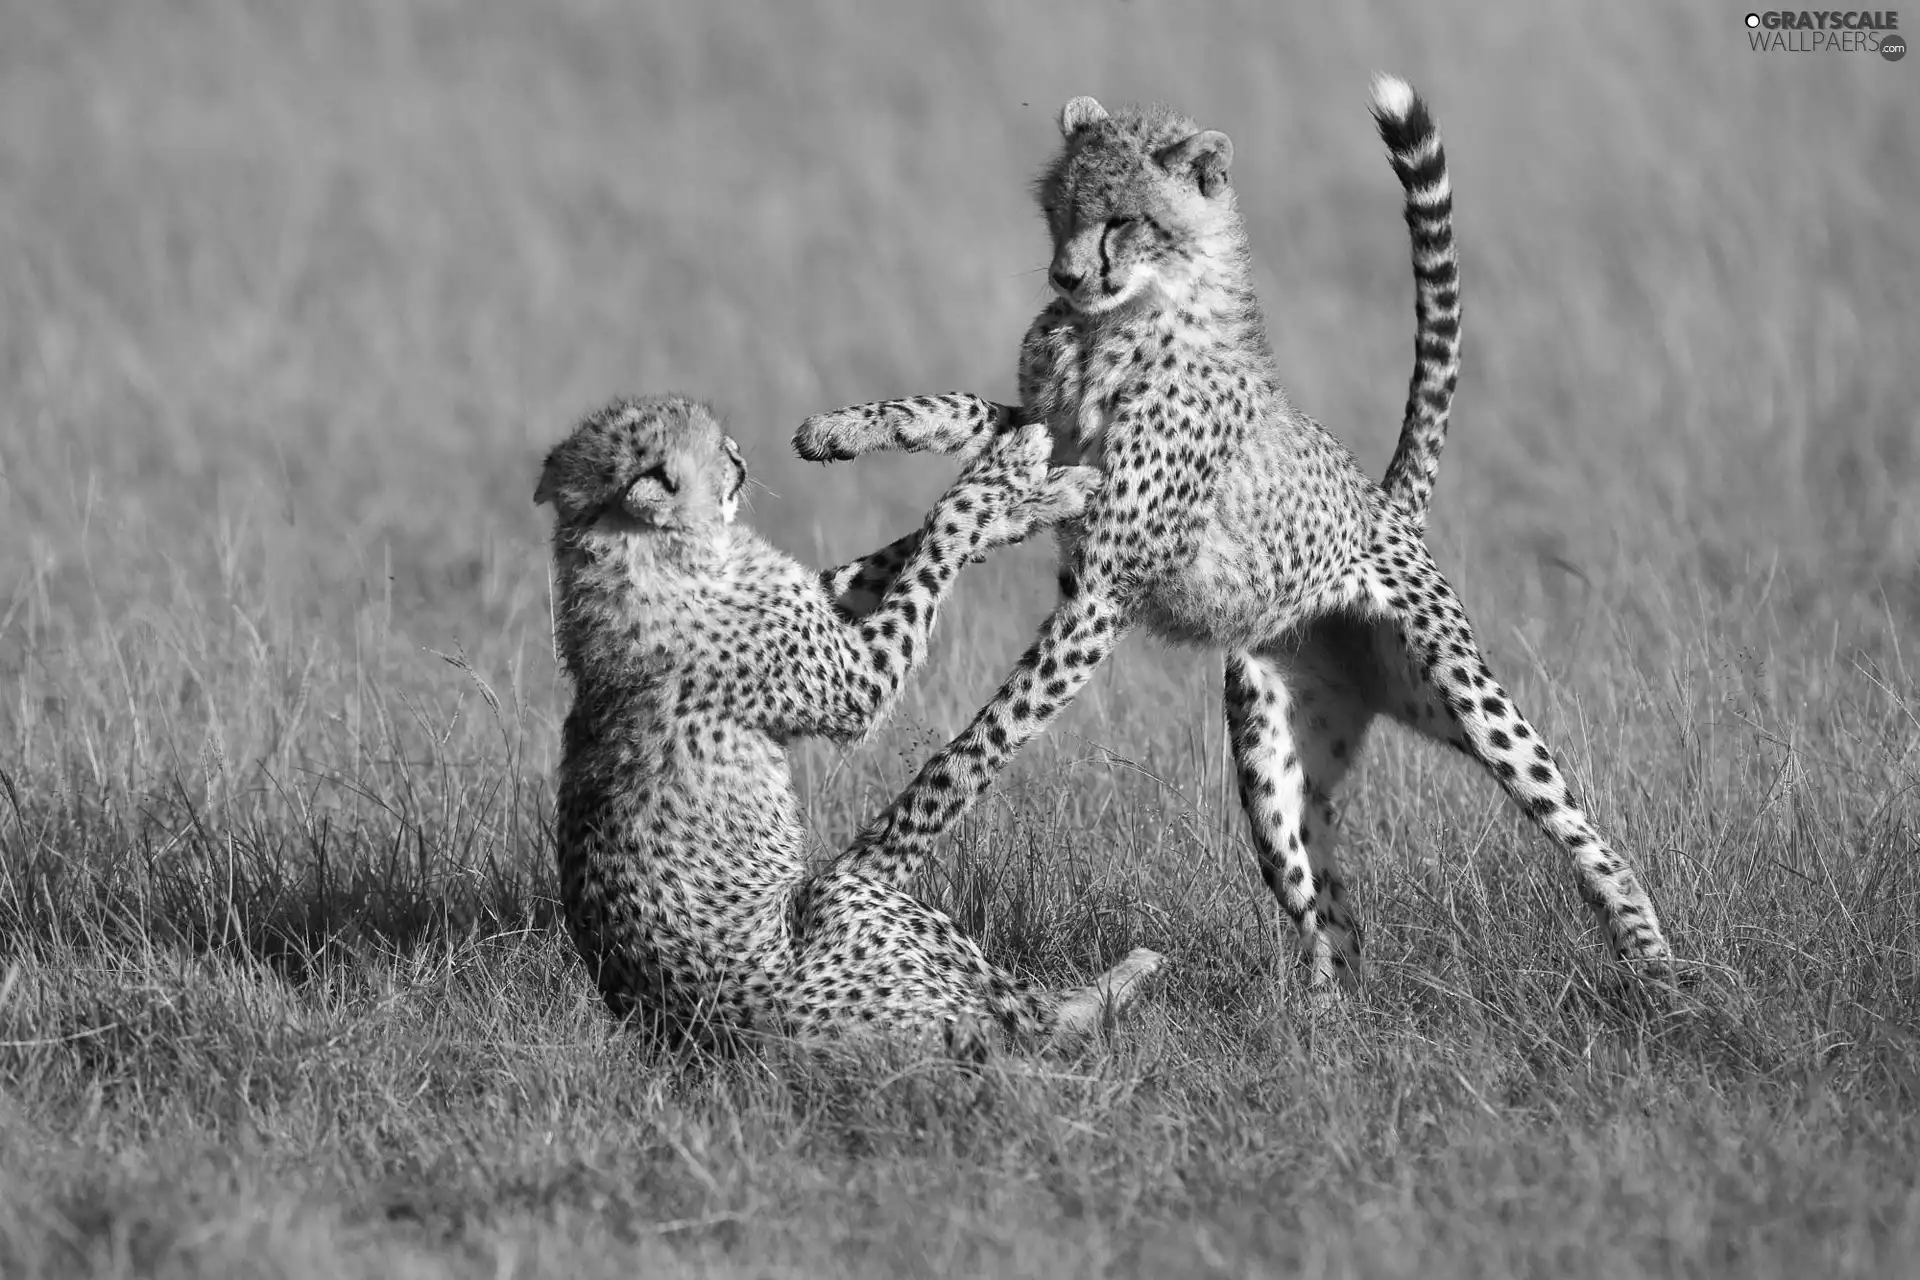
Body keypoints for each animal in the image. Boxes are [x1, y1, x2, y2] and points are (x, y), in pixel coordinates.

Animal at [537, 395, 1152, 1059]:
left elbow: (887, 555)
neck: (639, 554)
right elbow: (943, 527)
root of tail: (701, 1036)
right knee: (1033, 1025)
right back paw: (1123, 980)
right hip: (855, 902)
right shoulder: (859, 678)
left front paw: (1036, 498)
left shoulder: (820, 601)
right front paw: (1008, 470)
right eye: (711, 450)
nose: (740, 456)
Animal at [787, 75, 1674, 997]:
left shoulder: (1104, 587)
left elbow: (976, 745)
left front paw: (868, 865)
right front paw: (845, 431)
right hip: (1273, 762)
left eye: (1123, 219)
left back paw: (1657, 969)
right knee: (1334, 917)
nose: (1065, 275)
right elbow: (967, 427)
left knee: (1577, 824)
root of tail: (1384, 506)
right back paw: (1319, 1022)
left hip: (1460, 696)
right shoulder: (1051, 440)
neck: (1122, 320)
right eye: (1059, 211)